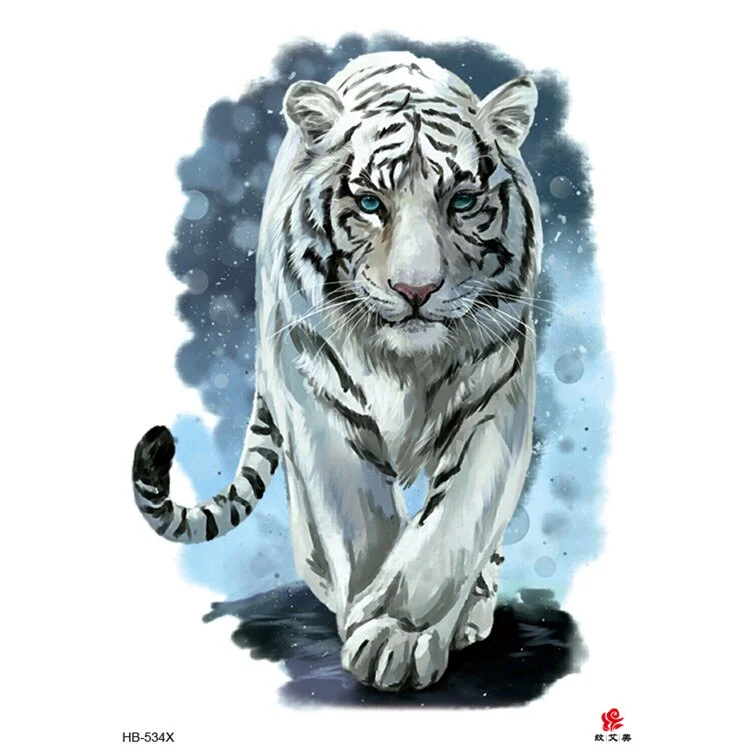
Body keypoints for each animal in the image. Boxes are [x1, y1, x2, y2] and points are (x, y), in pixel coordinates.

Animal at [132, 50, 542, 692]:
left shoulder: (495, 400)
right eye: (371, 204)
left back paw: (471, 615)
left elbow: (453, 526)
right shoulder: (317, 398)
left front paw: (399, 633)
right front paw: (375, 626)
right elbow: (359, 520)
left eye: (462, 202)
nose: (416, 290)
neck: (406, 364)